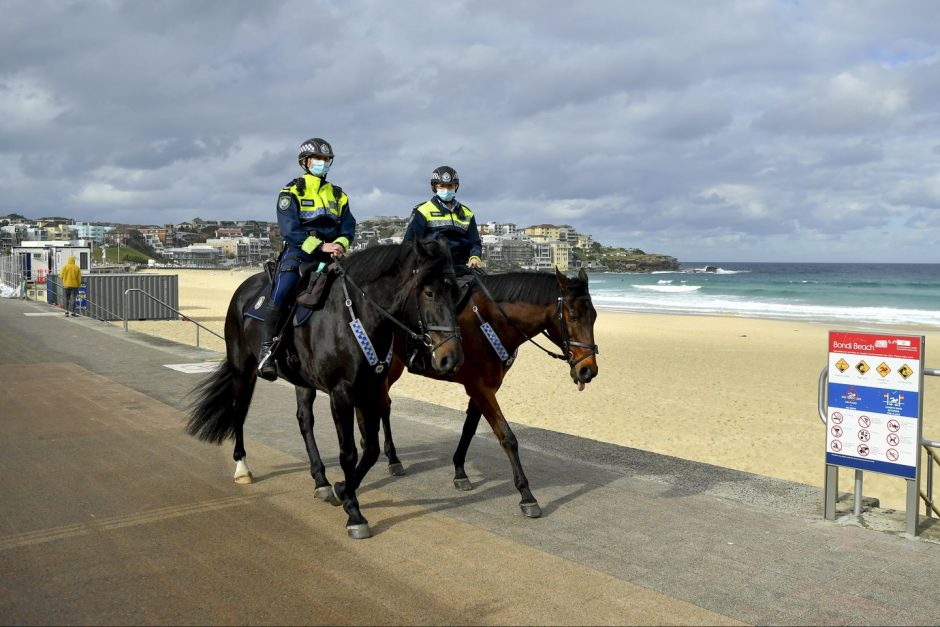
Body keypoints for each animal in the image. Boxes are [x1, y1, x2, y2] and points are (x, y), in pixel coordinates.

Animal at [185, 239, 462, 540]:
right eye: (430, 293)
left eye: (456, 292)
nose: (451, 357)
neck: (354, 316)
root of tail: (244, 289)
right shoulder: (341, 394)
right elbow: (349, 453)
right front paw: (354, 513)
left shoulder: (370, 390)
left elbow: (371, 449)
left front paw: (341, 489)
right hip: (242, 368)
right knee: (239, 411)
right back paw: (242, 467)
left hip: (302, 382)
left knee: (304, 421)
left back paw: (321, 480)